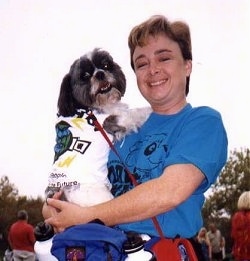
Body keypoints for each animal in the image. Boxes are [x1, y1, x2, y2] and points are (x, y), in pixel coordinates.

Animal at [46, 47, 151, 205]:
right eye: (85, 75)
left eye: (106, 65)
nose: (100, 73)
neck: (87, 108)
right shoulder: (110, 121)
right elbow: (136, 112)